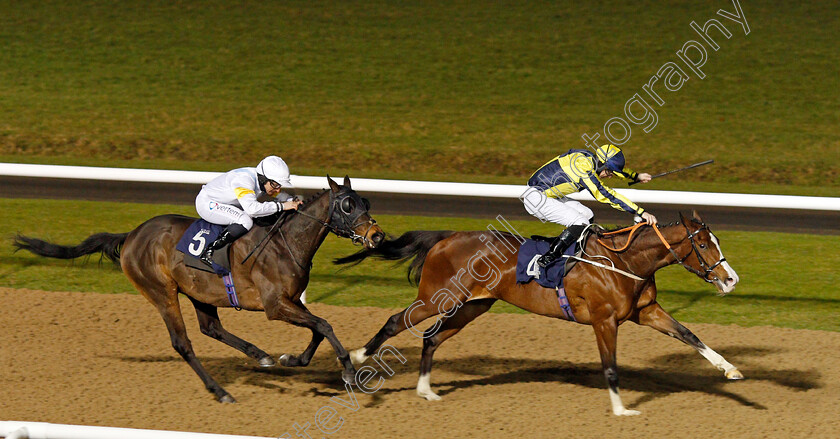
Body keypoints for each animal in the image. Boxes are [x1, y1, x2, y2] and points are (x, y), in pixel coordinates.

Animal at [13, 177, 384, 404]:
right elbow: (324, 324)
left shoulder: (291, 301)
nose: (377, 236)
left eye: (365, 201)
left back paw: (260, 356)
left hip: (199, 292)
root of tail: (131, 235)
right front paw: (348, 371)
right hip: (162, 292)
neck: (285, 243)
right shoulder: (275, 305)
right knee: (183, 343)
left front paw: (293, 359)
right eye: (348, 205)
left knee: (212, 328)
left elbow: (319, 328)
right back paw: (220, 391)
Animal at [334, 212, 740, 416]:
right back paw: (357, 359)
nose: (731, 278)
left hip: (474, 305)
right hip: (436, 298)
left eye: (717, 241)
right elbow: (610, 366)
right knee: (396, 322)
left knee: (432, 337)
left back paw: (425, 391)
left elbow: (689, 335)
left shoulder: (646, 311)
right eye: (703, 244)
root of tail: (445, 237)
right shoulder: (604, 319)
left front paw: (730, 369)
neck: (623, 261)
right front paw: (621, 409)